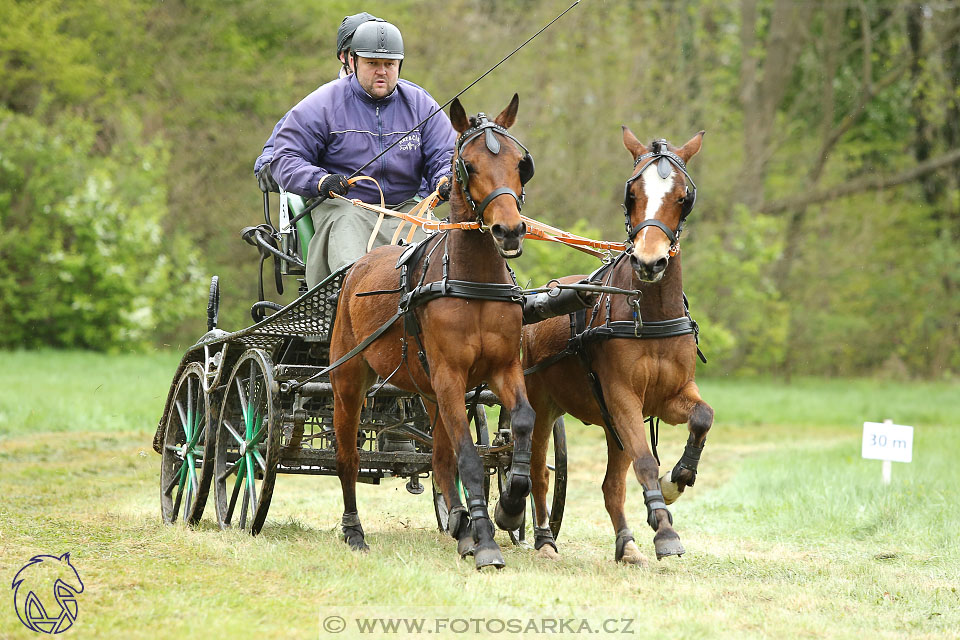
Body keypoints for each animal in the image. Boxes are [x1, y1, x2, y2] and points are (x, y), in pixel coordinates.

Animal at [330, 96, 536, 568]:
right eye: (469, 166)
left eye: (520, 164)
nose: (509, 230)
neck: (473, 282)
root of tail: (359, 265)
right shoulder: (449, 376)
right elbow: (470, 459)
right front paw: (488, 542)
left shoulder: (502, 369)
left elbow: (522, 422)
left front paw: (509, 506)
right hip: (349, 380)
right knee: (348, 457)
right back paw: (354, 531)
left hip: (427, 391)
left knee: (441, 458)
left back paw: (461, 526)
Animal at [516, 130, 712, 564]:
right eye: (632, 194)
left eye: (683, 197)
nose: (650, 262)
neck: (648, 314)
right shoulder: (624, 396)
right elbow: (645, 461)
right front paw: (665, 528)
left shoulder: (667, 397)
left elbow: (702, 417)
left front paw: (677, 480)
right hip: (541, 405)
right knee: (537, 472)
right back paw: (543, 539)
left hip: (609, 421)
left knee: (611, 485)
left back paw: (626, 544)